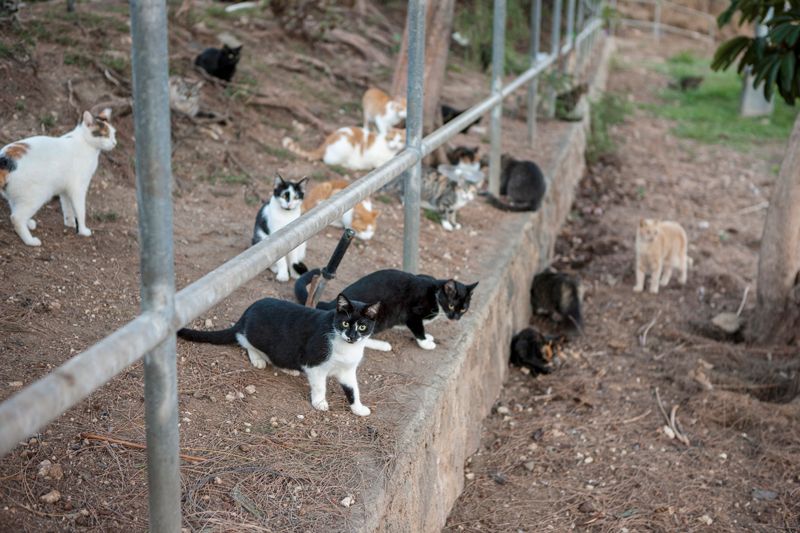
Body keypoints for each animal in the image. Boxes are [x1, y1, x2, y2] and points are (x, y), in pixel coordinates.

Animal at [0, 110, 118, 247]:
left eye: (113, 134)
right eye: (106, 135)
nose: (115, 143)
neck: (85, 142)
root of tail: (5, 159)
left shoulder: (65, 190)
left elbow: (68, 208)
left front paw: (70, 223)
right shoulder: (78, 189)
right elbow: (80, 211)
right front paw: (83, 230)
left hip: (18, 195)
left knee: (14, 208)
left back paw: (29, 223)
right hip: (38, 195)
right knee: (16, 217)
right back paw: (30, 241)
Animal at [178, 294, 382, 414]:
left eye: (362, 327)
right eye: (345, 323)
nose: (352, 336)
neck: (346, 348)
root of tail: (245, 313)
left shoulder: (347, 371)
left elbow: (353, 389)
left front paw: (358, 408)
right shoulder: (314, 363)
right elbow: (319, 386)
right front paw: (319, 402)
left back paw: (289, 369)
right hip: (257, 335)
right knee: (244, 340)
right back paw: (258, 359)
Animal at [296, 268, 478, 352]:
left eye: (463, 309)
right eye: (452, 305)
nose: (455, 317)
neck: (436, 292)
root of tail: (334, 302)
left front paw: (428, 336)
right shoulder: (412, 313)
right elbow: (418, 328)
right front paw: (425, 342)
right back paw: (382, 345)